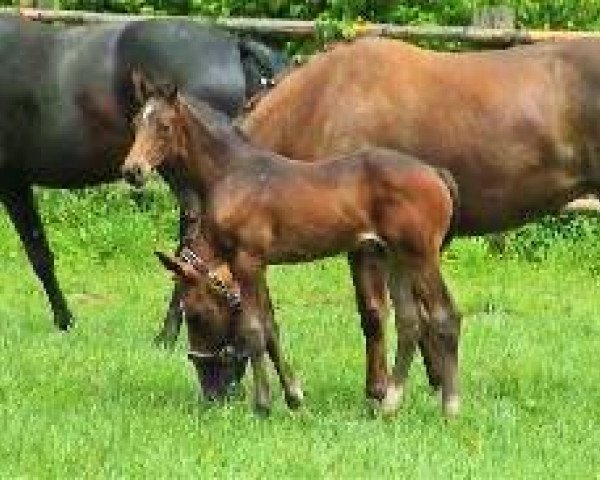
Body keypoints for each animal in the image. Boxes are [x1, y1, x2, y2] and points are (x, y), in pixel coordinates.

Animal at [120, 79, 460, 416]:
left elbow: (254, 328)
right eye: (136, 123)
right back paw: (390, 405)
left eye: (164, 126)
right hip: (396, 259)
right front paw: (294, 395)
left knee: (445, 316)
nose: (133, 170)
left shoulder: (247, 260)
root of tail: (435, 173)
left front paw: (262, 405)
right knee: (409, 322)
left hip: (421, 256)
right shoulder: (257, 264)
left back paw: (450, 407)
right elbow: (271, 326)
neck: (234, 173)